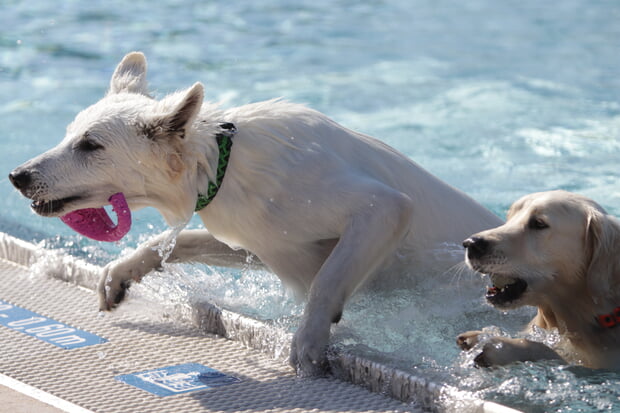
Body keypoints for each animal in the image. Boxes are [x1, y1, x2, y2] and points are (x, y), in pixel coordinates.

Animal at [8, 51, 504, 374]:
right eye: (69, 135)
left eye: (90, 145)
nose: (16, 176)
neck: (221, 165)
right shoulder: (259, 242)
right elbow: (174, 242)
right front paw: (123, 272)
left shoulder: (382, 209)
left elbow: (327, 281)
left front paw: (309, 340)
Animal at [456, 190, 620, 366]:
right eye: (510, 217)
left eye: (539, 223)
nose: (470, 243)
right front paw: (479, 336)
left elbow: (552, 353)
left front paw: (503, 346)